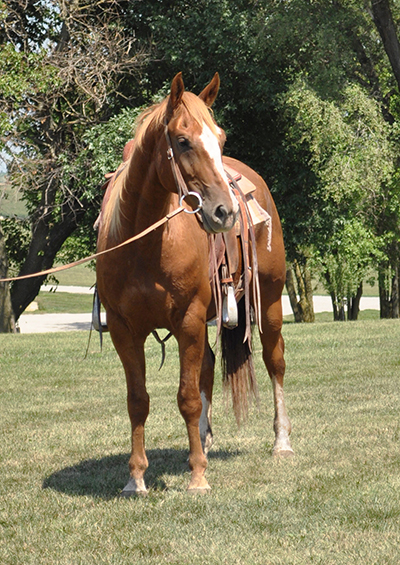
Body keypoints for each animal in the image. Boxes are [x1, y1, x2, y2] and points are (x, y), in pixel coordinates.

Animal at [95, 71, 292, 494]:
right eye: (183, 140)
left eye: (220, 137)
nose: (225, 212)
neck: (145, 243)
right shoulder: (123, 329)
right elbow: (138, 400)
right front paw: (136, 477)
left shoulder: (187, 318)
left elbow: (187, 397)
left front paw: (197, 475)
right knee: (208, 366)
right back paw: (203, 437)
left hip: (268, 302)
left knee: (275, 362)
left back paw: (281, 441)